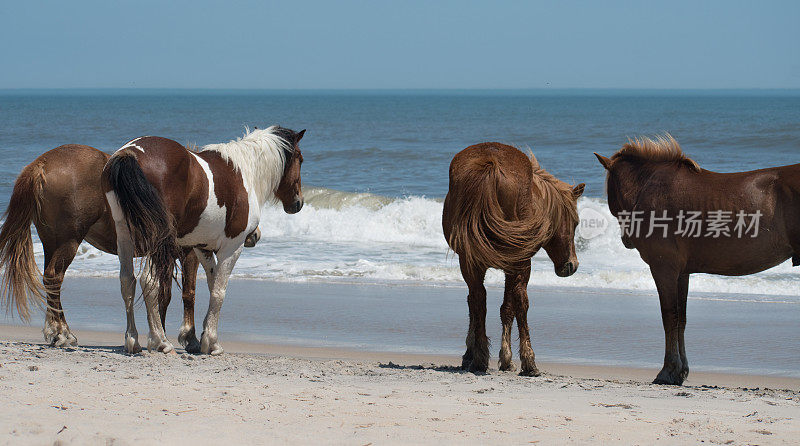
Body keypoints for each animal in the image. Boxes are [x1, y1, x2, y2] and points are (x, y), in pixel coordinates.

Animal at [0, 143, 260, 348]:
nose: (254, 235)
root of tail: (42, 163)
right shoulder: (187, 254)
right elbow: (186, 293)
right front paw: (186, 337)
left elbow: (163, 293)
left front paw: (160, 332)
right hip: (67, 241)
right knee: (54, 277)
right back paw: (64, 334)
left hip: (51, 241)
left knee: (49, 279)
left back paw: (55, 332)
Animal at [103, 126, 304, 356]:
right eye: (300, 159)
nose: (298, 202)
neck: (245, 173)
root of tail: (130, 153)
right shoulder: (232, 247)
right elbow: (219, 292)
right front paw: (211, 342)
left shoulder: (202, 248)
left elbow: (211, 284)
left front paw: (201, 336)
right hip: (158, 239)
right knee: (149, 282)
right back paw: (161, 341)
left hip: (124, 233)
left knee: (127, 281)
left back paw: (133, 340)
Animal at [440, 144, 584, 376]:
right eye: (575, 222)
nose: (571, 265)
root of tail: (490, 164)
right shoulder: (518, 264)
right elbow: (513, 306)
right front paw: (509, 359)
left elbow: (490, 307)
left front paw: (472, 354)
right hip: (518, 263)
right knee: (515, 303)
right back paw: (528, 362)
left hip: (470, 263)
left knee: (478, 300)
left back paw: (479, 359)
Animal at [592, 134, 800, 386]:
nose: (626, 240)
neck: (649, 187)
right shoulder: (682, 273)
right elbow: (681, 318)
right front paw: (681, 371)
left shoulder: (664, 269)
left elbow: (669, 316)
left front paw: (668, 371)